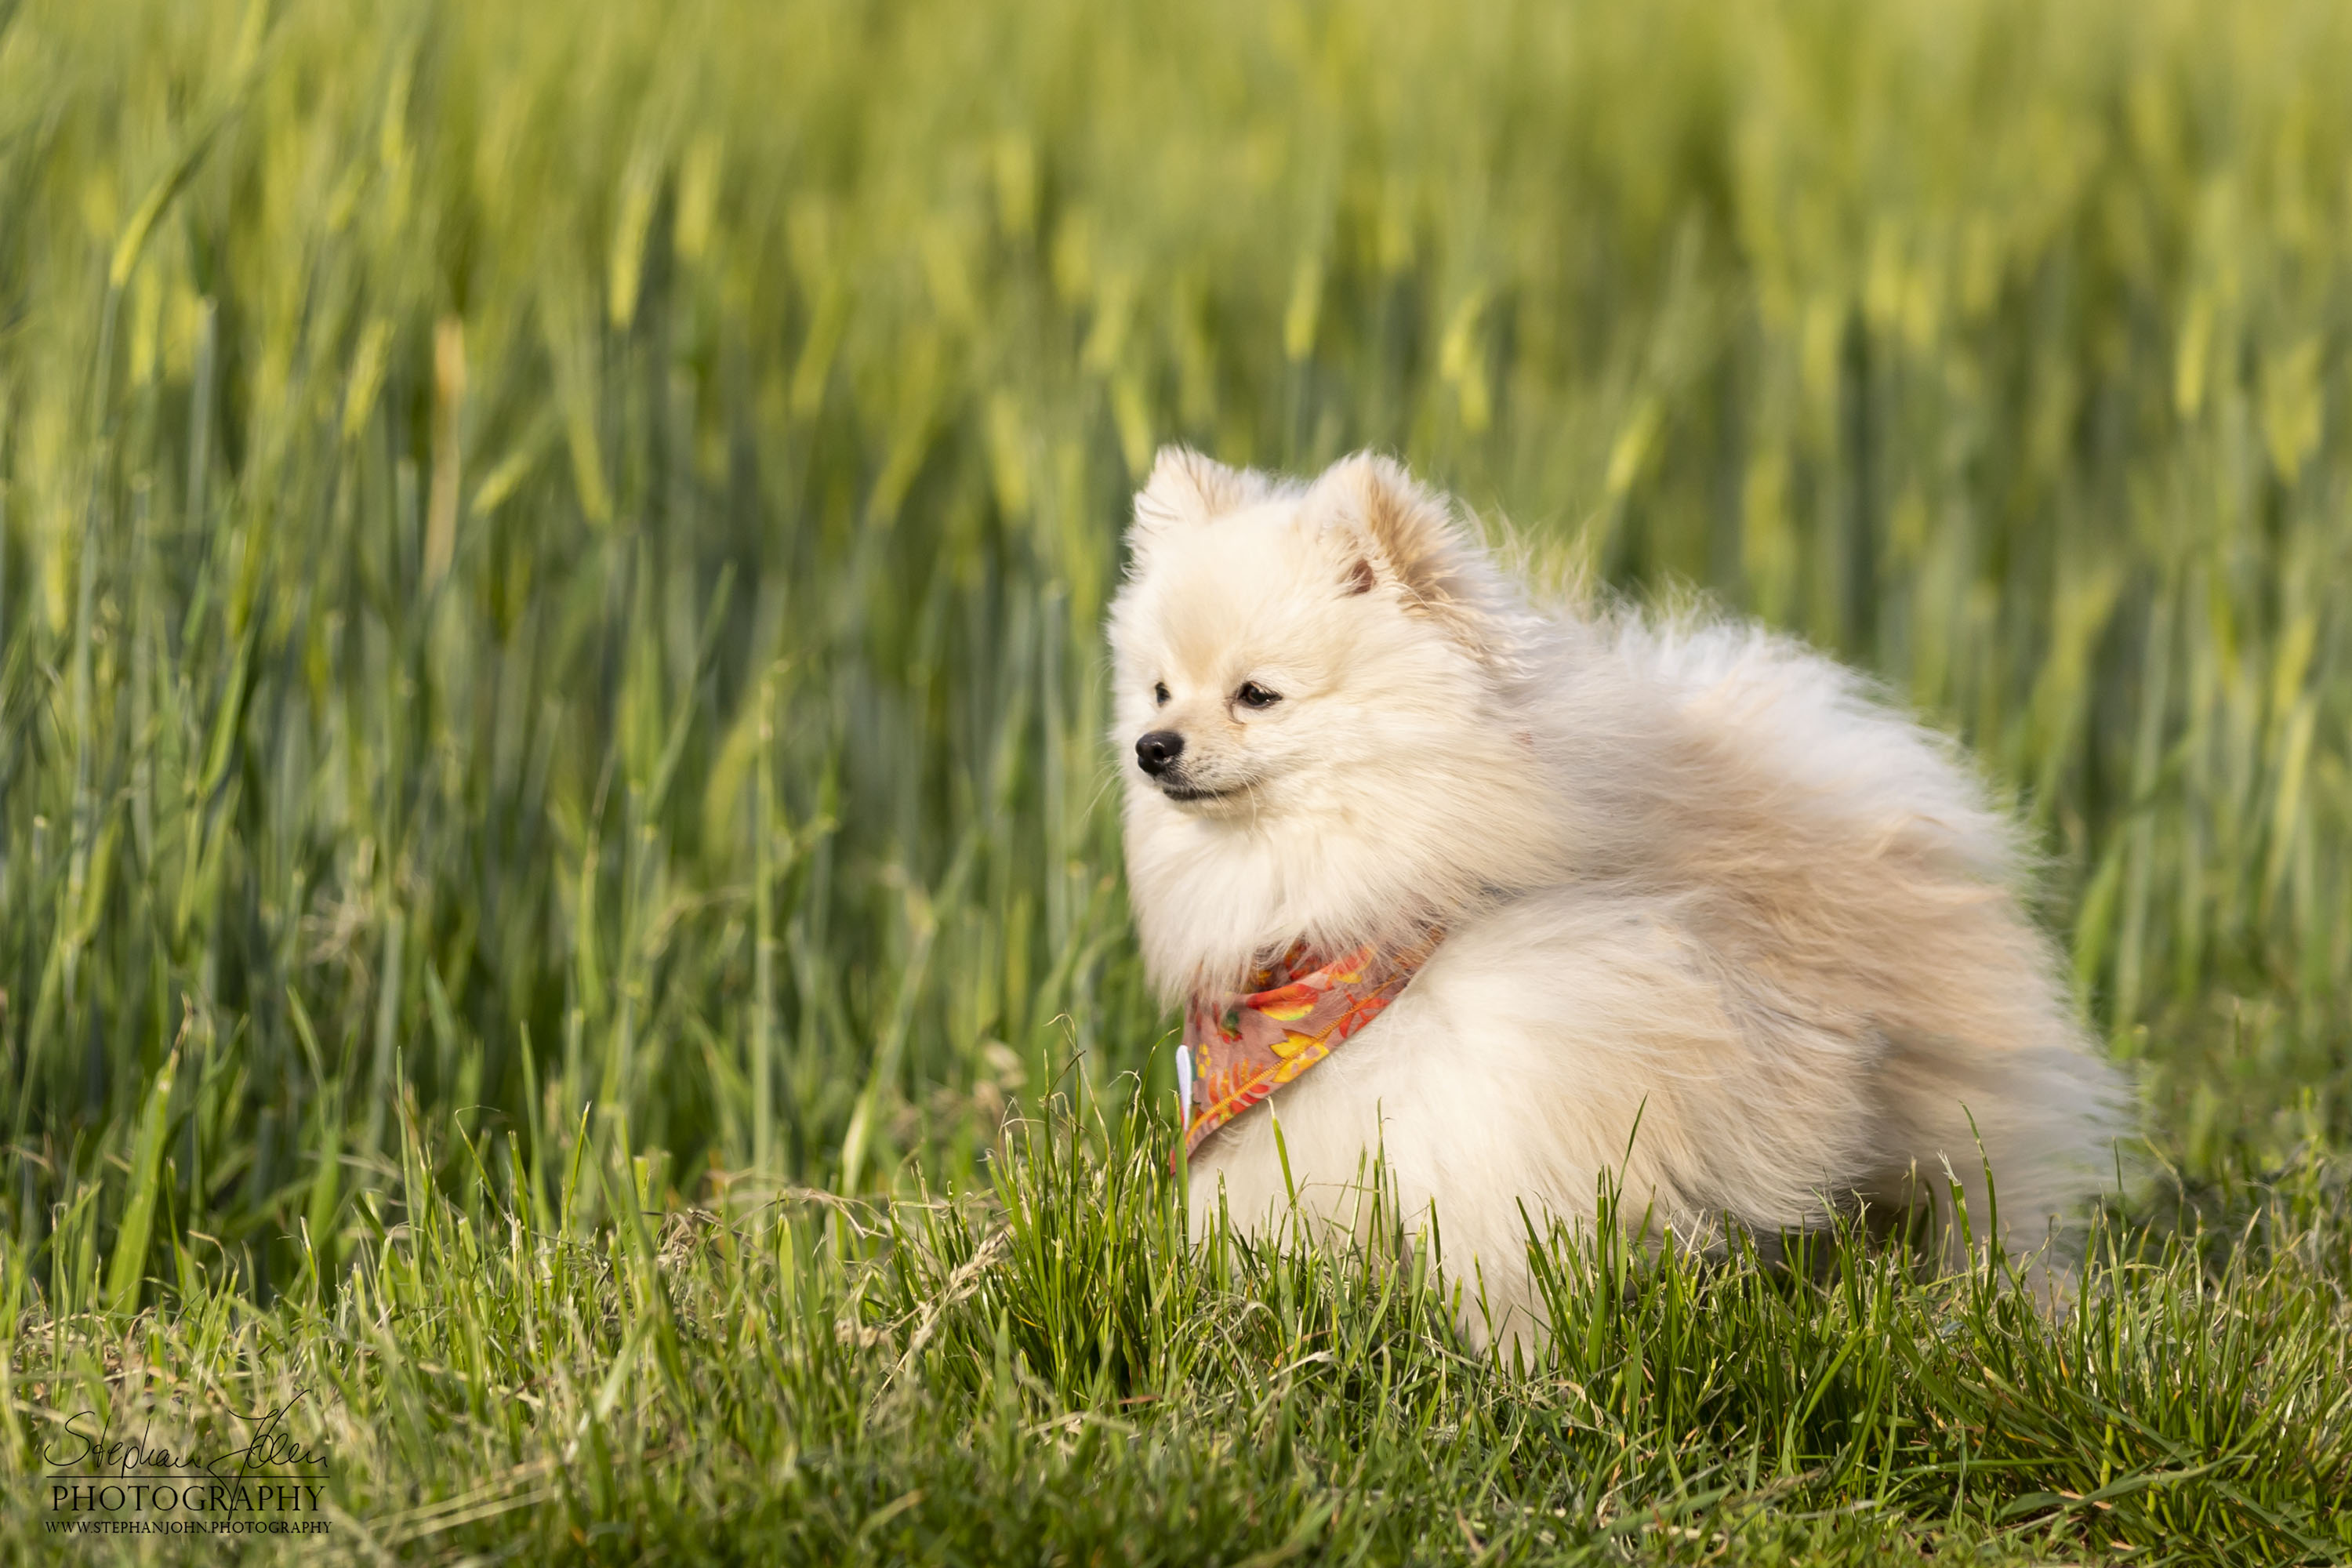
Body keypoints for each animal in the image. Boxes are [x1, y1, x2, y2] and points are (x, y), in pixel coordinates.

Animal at [1110, 444, 2126, 1354]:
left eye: (1256, 694)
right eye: (1160, 689)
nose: (1152, 747)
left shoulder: (1509, 1118)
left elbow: (1505, 1265)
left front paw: (1519, 1375)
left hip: (1953, 1129)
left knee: (1979, 1215)